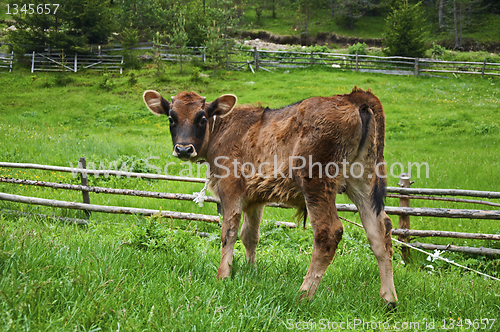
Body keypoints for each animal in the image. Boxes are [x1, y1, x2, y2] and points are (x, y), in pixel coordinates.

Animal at [144, 87, 398, 304]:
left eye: (202, 118)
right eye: (171, 118)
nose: (183, 149)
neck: (224, 130)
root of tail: (352, 97)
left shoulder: (230, 188)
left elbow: (229, 232)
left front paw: (223, 275)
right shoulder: (255, 198)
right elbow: (250, 236)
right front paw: (250, 271)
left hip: (316, 181)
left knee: (328, 233)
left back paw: (304, 294)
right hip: (363, 182)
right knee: (380, 231)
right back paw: (388, 299)